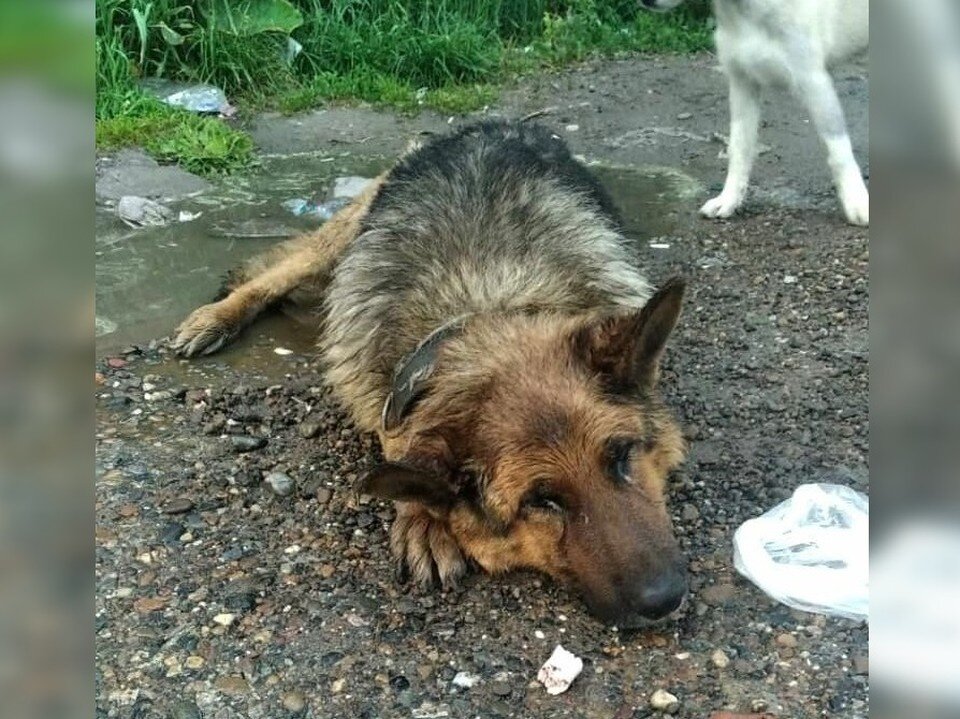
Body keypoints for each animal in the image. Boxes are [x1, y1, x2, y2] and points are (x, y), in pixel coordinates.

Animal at [174, 122, 688, 624]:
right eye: (541, 502)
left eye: (622, 455)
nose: (666, 599)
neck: (485, 307)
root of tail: (492, 123)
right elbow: (402, 444)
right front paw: (422, 515)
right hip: (343, 233)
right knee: (274, 275)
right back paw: (216, 318)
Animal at [644, 0, 872, 225]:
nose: (645, 1)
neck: (744, 10)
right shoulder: (742, 84)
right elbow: (739, 149)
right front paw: (728, 200)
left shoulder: (815, 84)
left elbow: (839, 151)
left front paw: (857, 202)